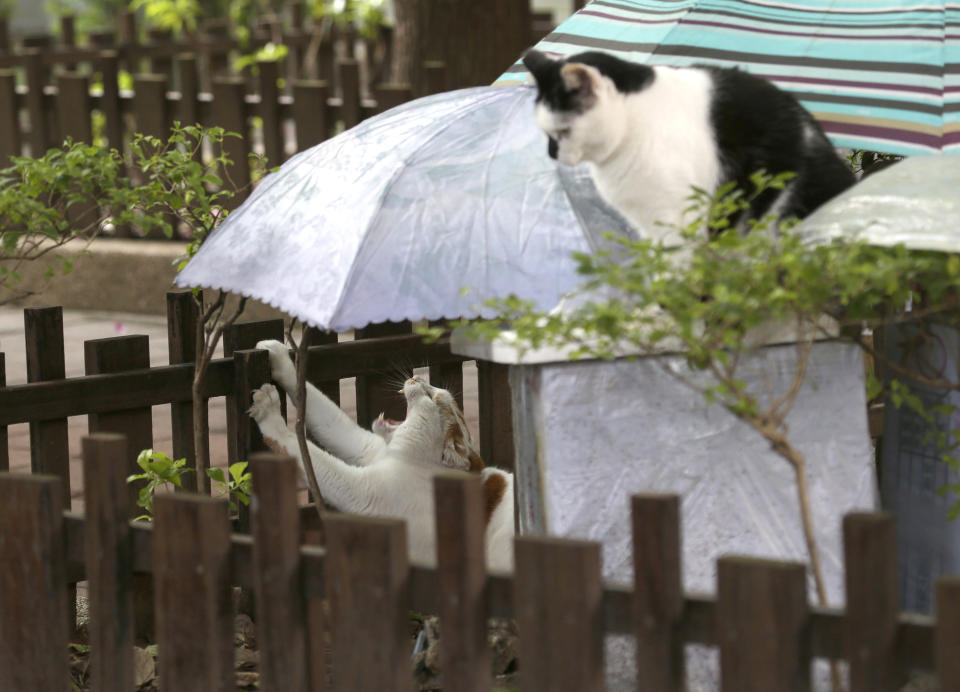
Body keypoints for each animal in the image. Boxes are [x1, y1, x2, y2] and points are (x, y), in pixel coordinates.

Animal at [251, 340, 512, 572]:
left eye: (430, 397)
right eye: (434, 390)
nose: (417, 378)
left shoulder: (363, 490)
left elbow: (300, 449)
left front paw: (268, 411)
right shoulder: (366, 447)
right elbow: (323, 410)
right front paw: (277, 355)